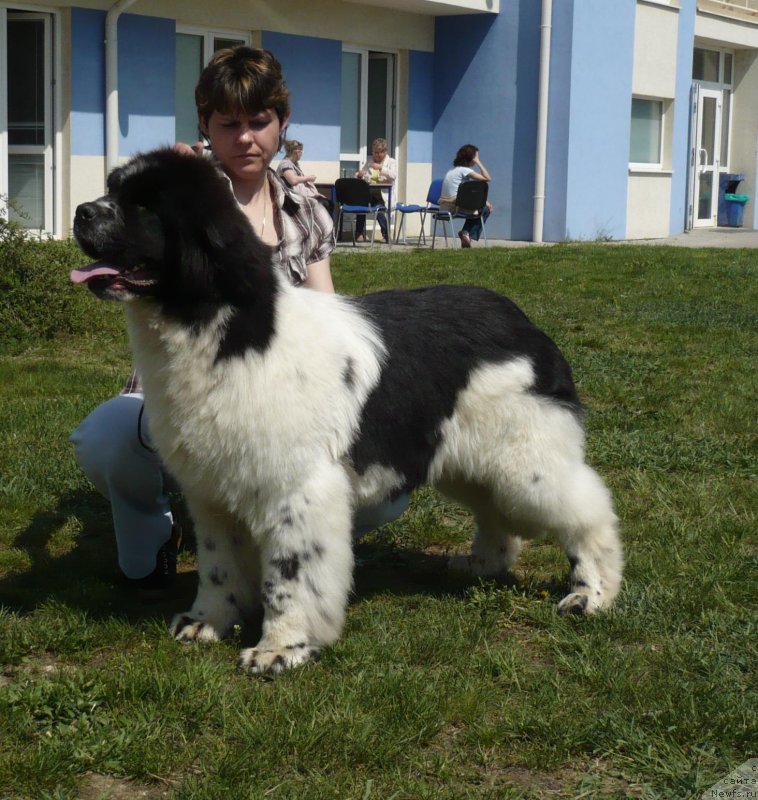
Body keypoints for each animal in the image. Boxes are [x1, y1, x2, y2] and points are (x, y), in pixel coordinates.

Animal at [72, 150, 624, 676]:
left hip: (524, 462)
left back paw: (590, 595)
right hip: (464, 458)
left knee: (588, 511)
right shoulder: (212, 491)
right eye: (113, 190)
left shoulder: (296, 489)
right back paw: (481, 563)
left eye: (147, 206)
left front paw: (280, 648)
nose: (81, 211)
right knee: (494, 511)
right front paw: (207, 622)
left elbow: (290, 575)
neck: (224, 328)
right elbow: (218, 565)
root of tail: (521, 320)